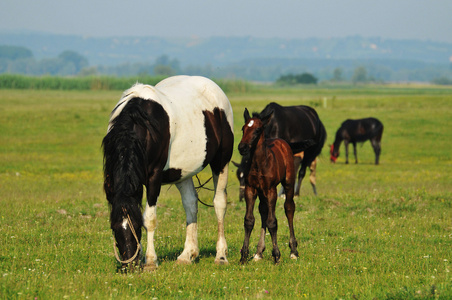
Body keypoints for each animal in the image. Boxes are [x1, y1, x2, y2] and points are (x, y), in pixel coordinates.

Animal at [103, 75, 235, 272]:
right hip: (183, 173)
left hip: (221, 162)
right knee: (190, 204)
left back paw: (220, 256)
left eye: (136, 225)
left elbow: (149, 219)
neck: (139, 126)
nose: (130, 265)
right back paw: (187, 255)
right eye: (113, 226)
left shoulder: (153, 178)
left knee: (219, 203)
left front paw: (150, 261)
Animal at [237, 109, 310, 264]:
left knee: (289, 208)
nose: (242, 147)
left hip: (288, 182)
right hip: (261, 192)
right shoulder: (250, 189)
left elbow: (272, 222)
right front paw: (244, 256)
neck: (259, 164)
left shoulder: (271, 190)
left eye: (258, 130)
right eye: (243, 128)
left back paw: (293, 251)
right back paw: (259, 252)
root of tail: (283, 142)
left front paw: (276, 255)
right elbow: (249, 220)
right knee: (263, 211)